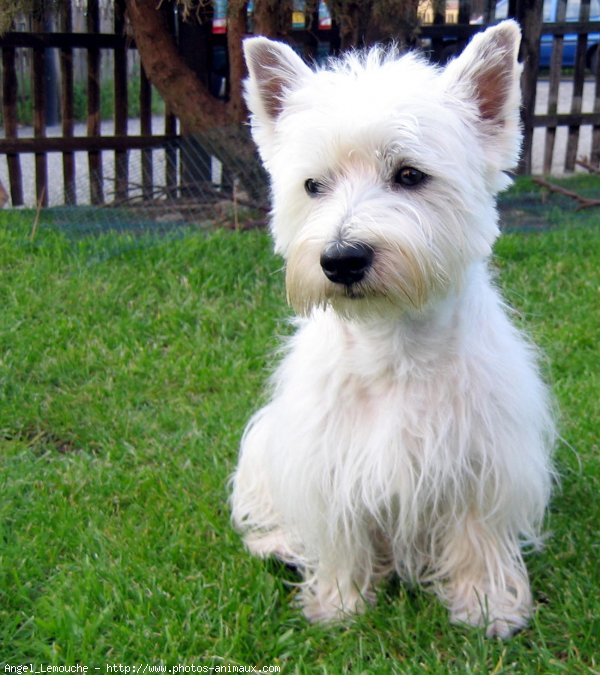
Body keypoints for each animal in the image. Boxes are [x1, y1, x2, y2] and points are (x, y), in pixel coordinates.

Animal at [230, 21, 552, 640]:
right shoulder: (327, 462)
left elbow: (477, 535)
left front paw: (486, 607)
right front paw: (340, 603)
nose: (342, 259)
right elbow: (340, 536)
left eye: (409, 175)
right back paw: (278, 543)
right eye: (313, 185)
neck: (393, 346)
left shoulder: (483, 461)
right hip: (264, 445)